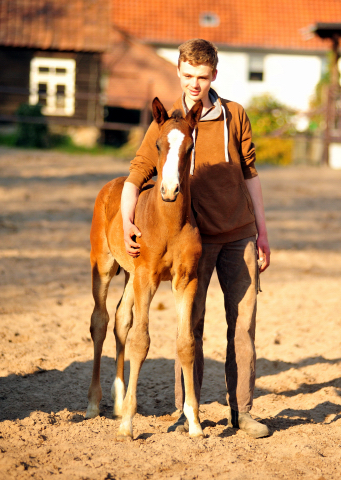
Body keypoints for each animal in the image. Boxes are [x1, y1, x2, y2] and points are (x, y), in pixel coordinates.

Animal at [85, 97, 202, 438]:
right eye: (158, 145)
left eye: (190, 146)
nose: (170, 190)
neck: (169, 224)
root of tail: (114, 183)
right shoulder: (147, 279)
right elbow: (141, 341)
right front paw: (127, 424)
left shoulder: (185, 280)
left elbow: (185, 343)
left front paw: (194, 422)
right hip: (104, 267)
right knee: (100, 321)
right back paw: (94, 404)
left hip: (130, 276)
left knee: (121, 319)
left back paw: (118, 399)